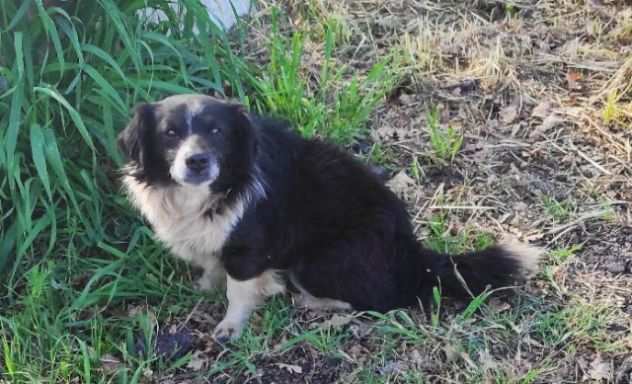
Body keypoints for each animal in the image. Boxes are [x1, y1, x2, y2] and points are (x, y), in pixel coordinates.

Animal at [117, 94, 540, 340]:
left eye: (218, 131)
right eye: (170, 133)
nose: (197, 161)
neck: (206, 192)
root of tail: (412, 251)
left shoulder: (250, 246)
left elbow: (238, 290)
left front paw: (230, 327)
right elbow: (211, 265)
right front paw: (205, 285)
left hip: (316, 260)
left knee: (377, 300)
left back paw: (310, 302)